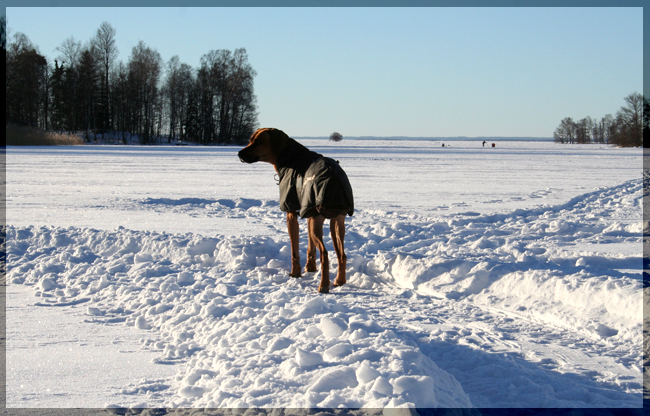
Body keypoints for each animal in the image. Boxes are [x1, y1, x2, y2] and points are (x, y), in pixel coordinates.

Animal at [237, 127, 352, 292]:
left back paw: (323, 286)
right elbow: (310, 247)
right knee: (342, 254)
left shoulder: (291, 213)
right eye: (250, 140)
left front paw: (295, 274)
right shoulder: (309, 213)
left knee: (325, 254)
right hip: (337, 220)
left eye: (258, 142)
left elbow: (294, 251)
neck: (291, 157)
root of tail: (335, 181)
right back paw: (339, 281)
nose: (239, 153)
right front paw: (310, 268)